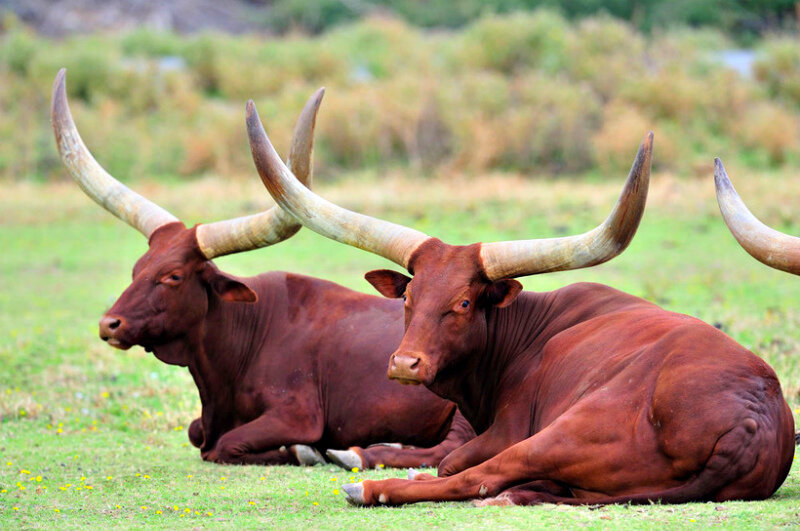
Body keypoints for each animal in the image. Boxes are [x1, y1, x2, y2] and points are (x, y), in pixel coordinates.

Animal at [51, 69, 476, 470]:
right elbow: (196, 433)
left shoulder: (297, 414)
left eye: (173, 276)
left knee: (447, 450)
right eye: (137, 268)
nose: (110, 324)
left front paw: (303, 451)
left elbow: (223, 446)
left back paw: (357, 453)